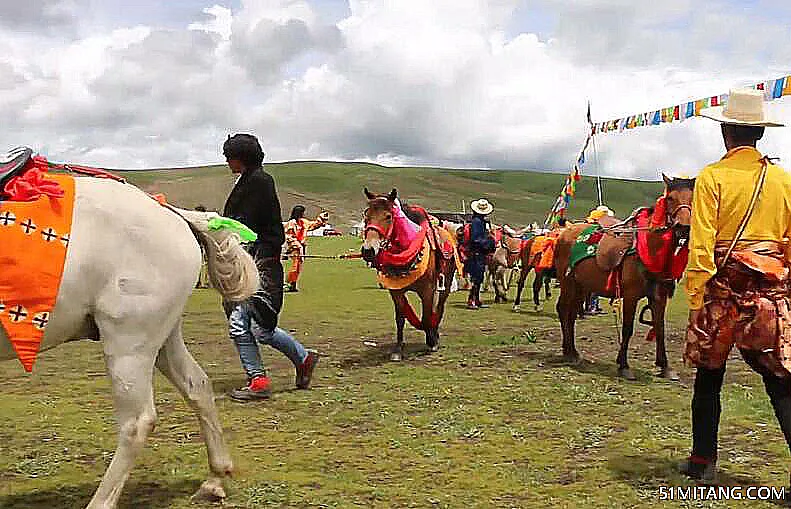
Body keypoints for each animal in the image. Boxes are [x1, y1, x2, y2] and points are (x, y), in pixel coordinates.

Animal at [0, 176, 256, 508]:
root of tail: (173, 213)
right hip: (163, 337)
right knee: (197, 385)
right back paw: (215, 480)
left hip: (129, 342)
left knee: (136, 422)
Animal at [362, 188, 460, 362]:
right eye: (366, 216)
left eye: (388, 216)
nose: (368, 250)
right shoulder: (395, 291)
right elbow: (400, 318)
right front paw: (398, 349)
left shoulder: (427, 291)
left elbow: (427, 316)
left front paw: (432, 341)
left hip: (446, 283)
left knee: (439, 308)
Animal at [552, 177, 692, 380]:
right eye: (670, 198)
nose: (683, 227)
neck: (650, 249)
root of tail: (565, 231)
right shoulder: (631, 295)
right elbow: (627, 328)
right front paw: (624, 365)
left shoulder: (659, 297)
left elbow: (660, 328)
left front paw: (665, 366)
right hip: (568, 283)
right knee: (563, 310)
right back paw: (569, 353)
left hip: (580, 286)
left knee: (571, 314)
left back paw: (572, 352)